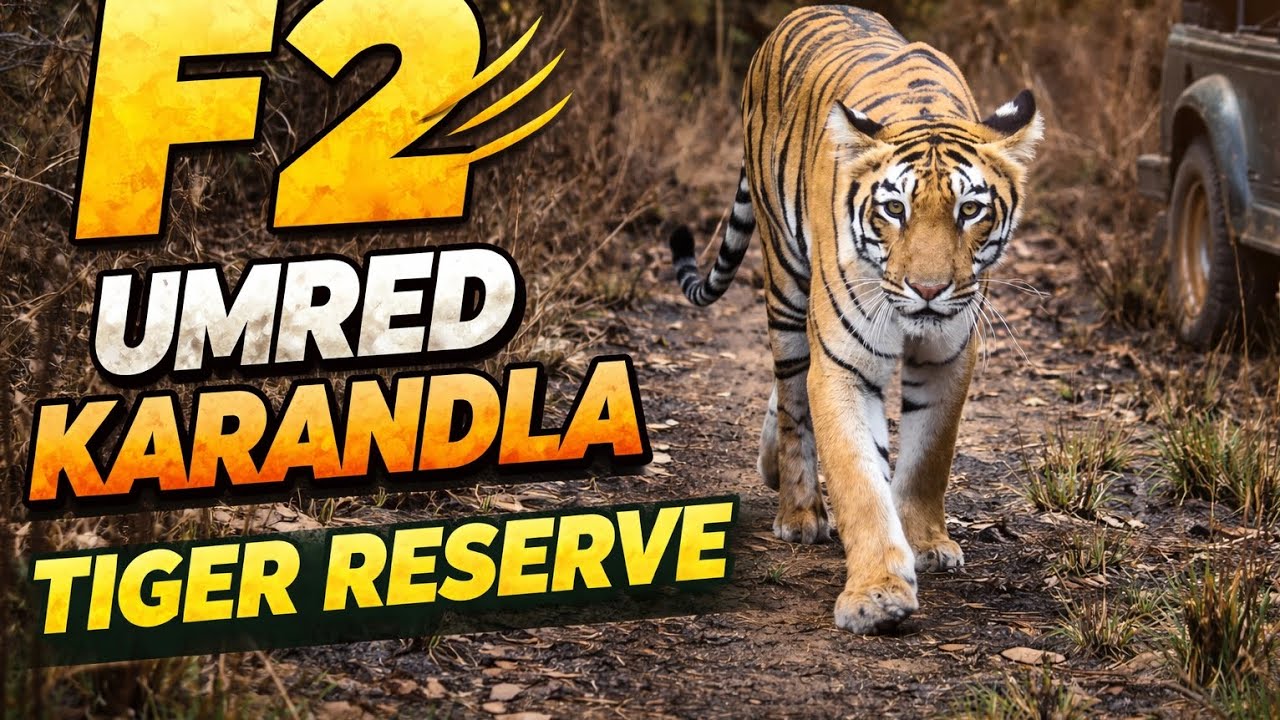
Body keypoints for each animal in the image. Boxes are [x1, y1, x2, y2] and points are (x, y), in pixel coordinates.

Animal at [669, 5, 1042, 633]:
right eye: (895, 208)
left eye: (970, 210)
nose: (928, 290)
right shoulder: (843, 362)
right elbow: (859, 479)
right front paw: (876, 594)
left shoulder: (949, 355)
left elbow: (927, 458)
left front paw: (927, 543)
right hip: (786, 283)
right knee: (792, 396)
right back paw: (798, 510)